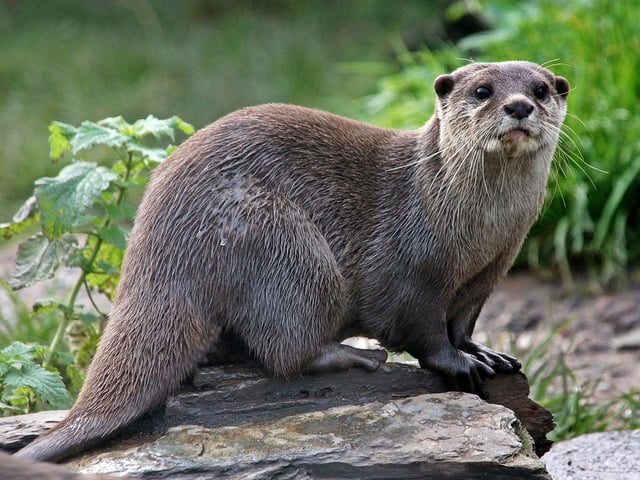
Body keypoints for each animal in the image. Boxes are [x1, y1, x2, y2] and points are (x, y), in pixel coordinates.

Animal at [16, 61, 569, 462]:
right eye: (482, 90)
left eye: (542, 89)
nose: (519, 105)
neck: (474, 224)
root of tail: (155, 247)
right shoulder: (414, 271)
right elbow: (425, 331)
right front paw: (457, 363)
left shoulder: (489, 271)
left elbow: (462, 322)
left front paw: (485, 353)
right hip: (282, 244)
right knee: (283, 349)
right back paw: (353, 356)